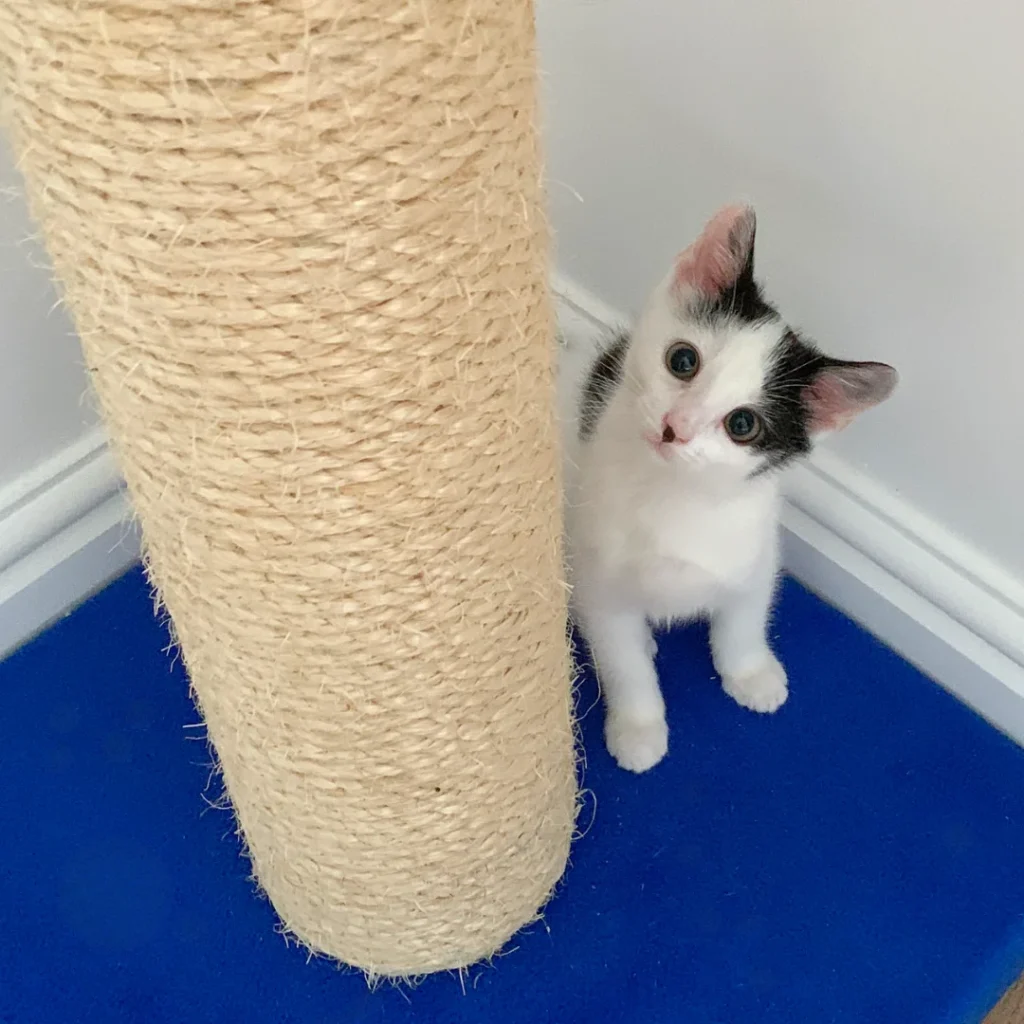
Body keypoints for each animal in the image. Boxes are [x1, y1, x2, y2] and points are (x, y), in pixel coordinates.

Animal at [561, 203, 897, 770]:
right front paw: (638, 727)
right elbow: (622, 661)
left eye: (742, 425)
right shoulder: (598, 581)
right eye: (682, 360)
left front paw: (751, 672)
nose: (676, 427)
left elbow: (743, 617)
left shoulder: (754, 551)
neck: (678, 493)